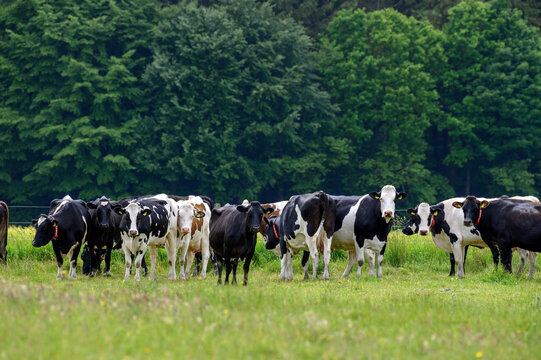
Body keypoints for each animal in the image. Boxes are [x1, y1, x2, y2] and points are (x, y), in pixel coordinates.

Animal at [402, 197, 536, 278]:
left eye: (429, 216)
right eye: (416, 216)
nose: (423, 231)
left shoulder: (454, 239)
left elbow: (456, 259)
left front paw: (457, 275)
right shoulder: (461, 242)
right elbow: (458, 259)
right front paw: (456, 274)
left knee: (524, 257)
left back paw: (519, 275)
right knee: (531, 257)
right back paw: (528, 275)